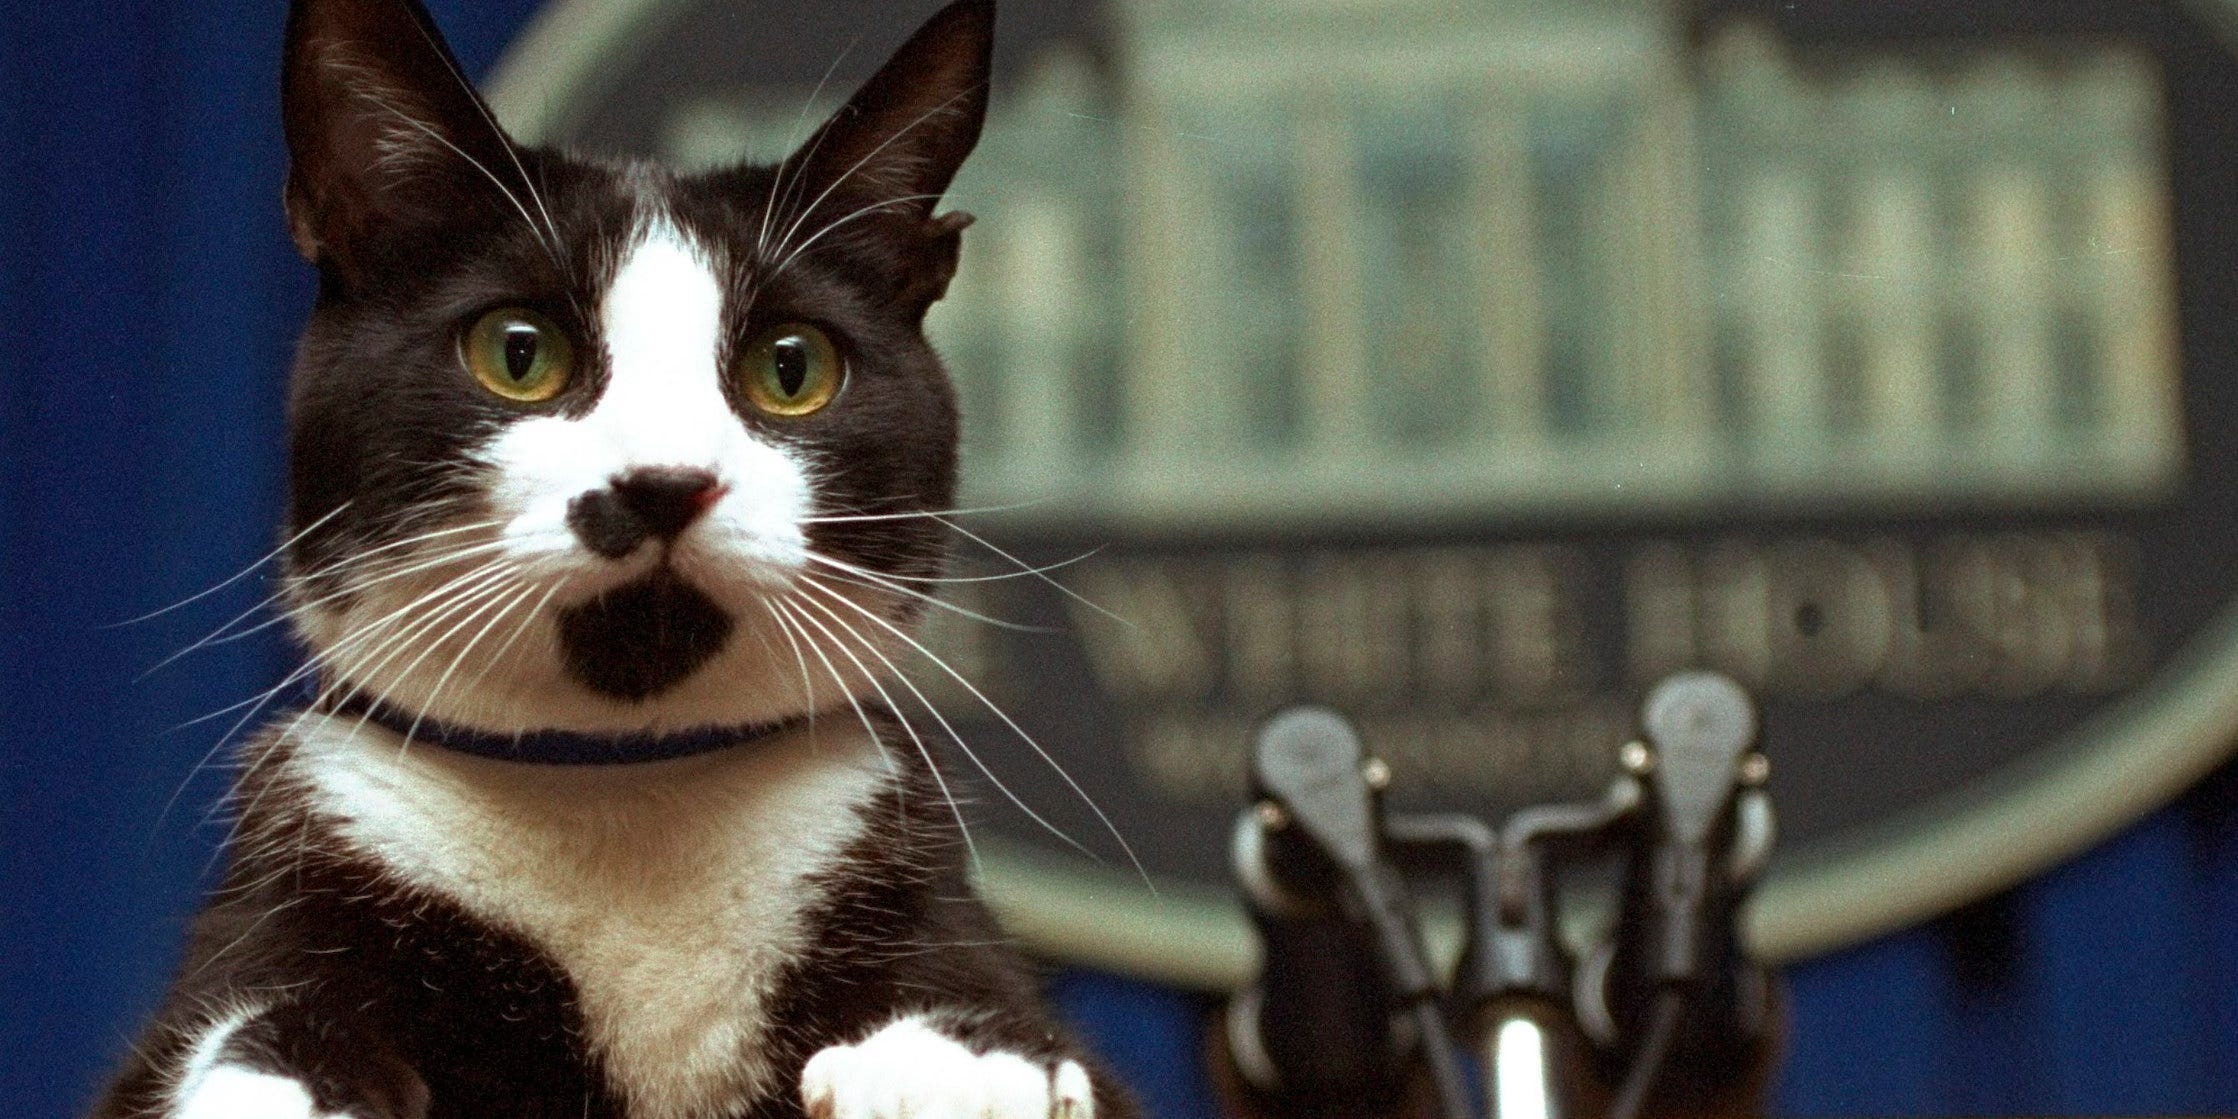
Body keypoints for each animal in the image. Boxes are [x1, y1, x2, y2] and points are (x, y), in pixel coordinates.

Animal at [93, 2, 1127, 1119]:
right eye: (518, 351)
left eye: (792, 367)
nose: (665, 481)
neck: (622, 791)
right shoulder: (288, 888)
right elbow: (255, 1018)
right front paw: (284, 1082)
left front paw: (946, 1065)